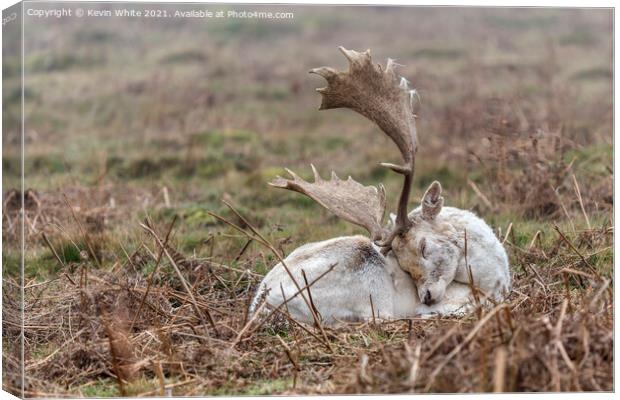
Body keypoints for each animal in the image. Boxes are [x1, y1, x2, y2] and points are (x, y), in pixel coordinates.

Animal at [249, 48, 512, 326]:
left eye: (424, 247)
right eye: (404, 264)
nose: (427, 297)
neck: (496, 281)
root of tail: (262, 305)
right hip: (366, 279)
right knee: (376, 317)